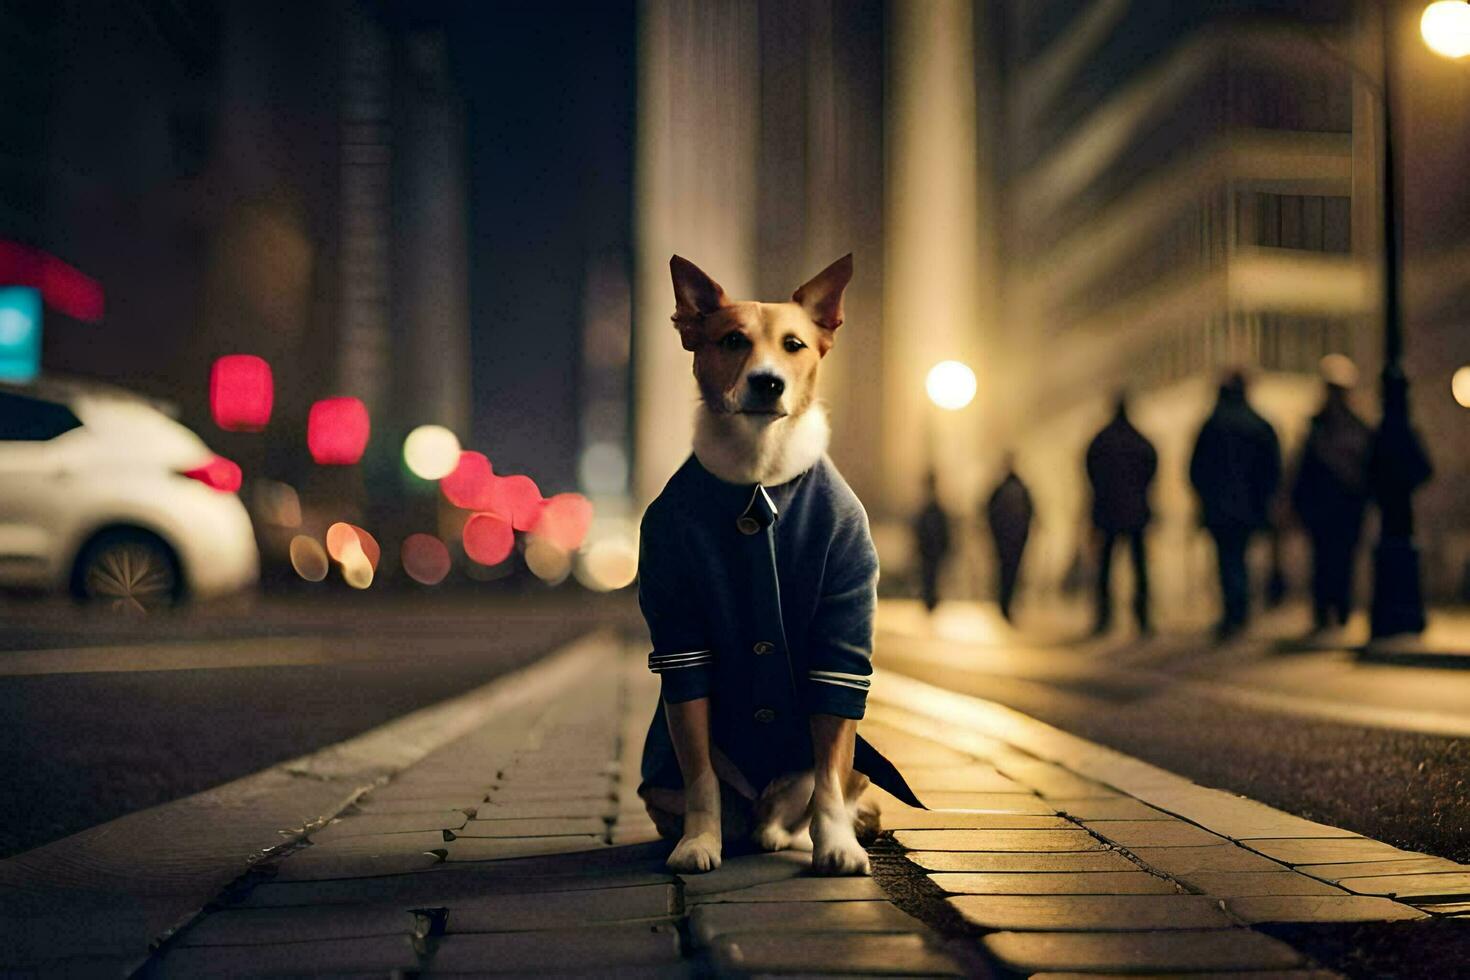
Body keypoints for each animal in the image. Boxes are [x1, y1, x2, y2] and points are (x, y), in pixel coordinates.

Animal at [632, 251, 917, 875]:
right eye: (732, 340)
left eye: (794, 344)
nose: (768, 381)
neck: (759, 471)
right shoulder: (682, 644)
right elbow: (700, 775)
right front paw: (699, 841)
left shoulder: (840, 643)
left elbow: (829, 772)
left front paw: (836, 846)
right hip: (662, 784)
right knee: (739, 814)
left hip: (856, 762)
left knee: (810, 802)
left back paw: (812, 832)